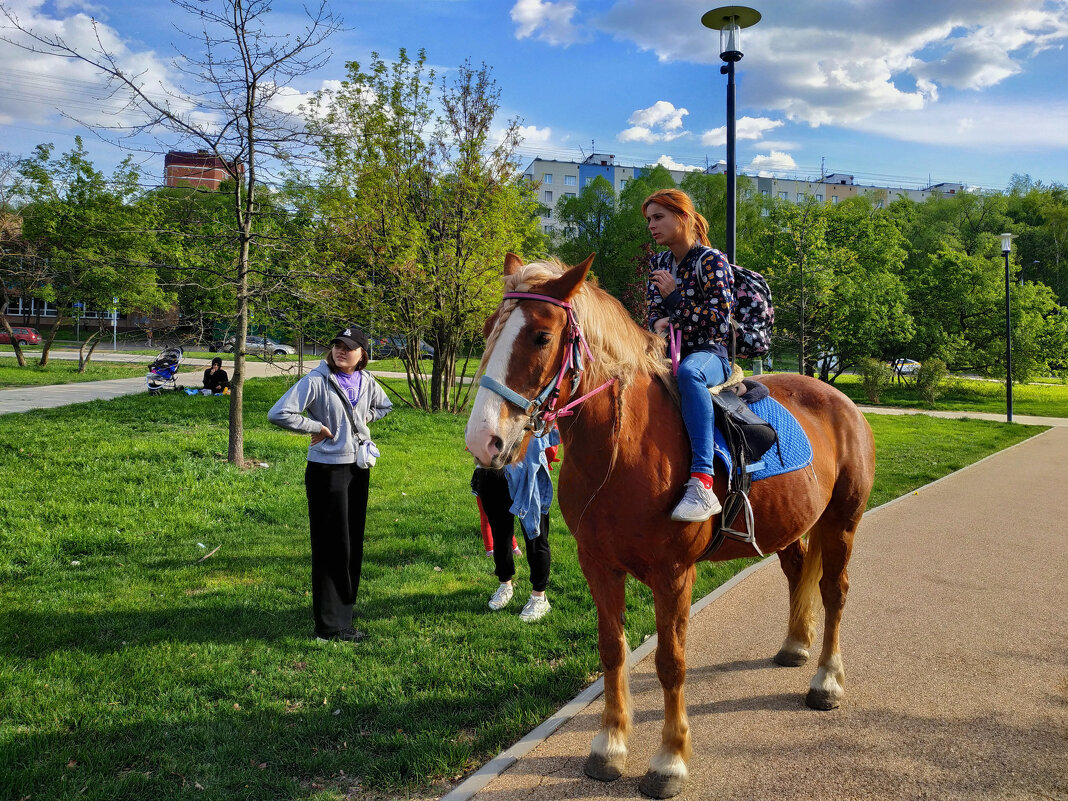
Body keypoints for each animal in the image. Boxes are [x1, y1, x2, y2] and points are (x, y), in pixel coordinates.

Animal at [467, 255, 875, 798]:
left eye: (540, 336)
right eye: (489, 329)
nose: (483, 440)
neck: (621, 451)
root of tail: (841, 400)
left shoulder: (675, 573)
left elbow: (670, 662)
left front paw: (669, 760)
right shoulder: (598, 565)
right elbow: (612, 650)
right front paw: (609, 746)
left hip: (841, 523)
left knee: (834, 591)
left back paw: (827, 680)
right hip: (789, 528)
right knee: (797, 574)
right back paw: (794, 644)